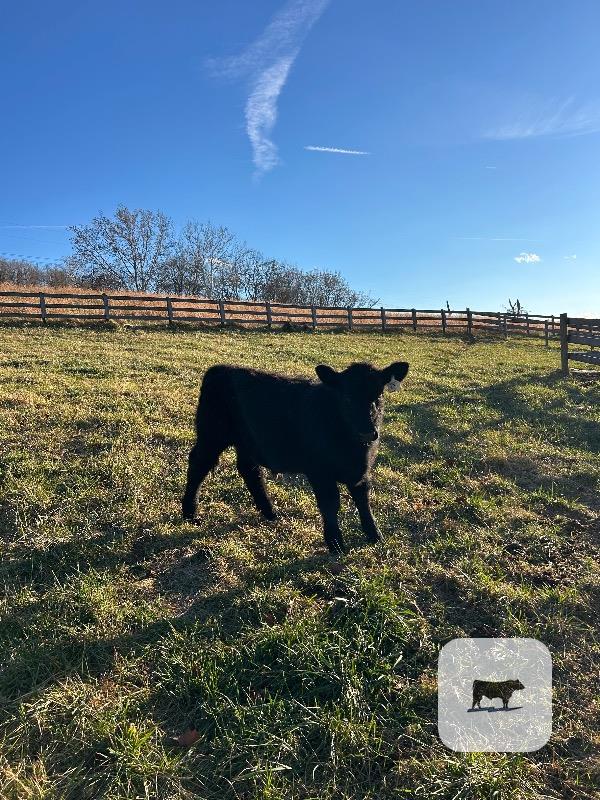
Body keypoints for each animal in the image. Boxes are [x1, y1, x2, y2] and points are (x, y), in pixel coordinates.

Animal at [181, 361, 409, 554]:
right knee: (198, 464)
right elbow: (330, 503)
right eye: (346, 398)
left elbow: (363, 500)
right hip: (211, 435)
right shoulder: (319, 471)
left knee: (249, 470)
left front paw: (374, 535)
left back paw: (270, 512)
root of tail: (220, 368)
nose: (368, 432)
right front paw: (336, 544)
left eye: (379, 395)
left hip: (247, 442)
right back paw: (190, 513)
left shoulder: (361, 470)